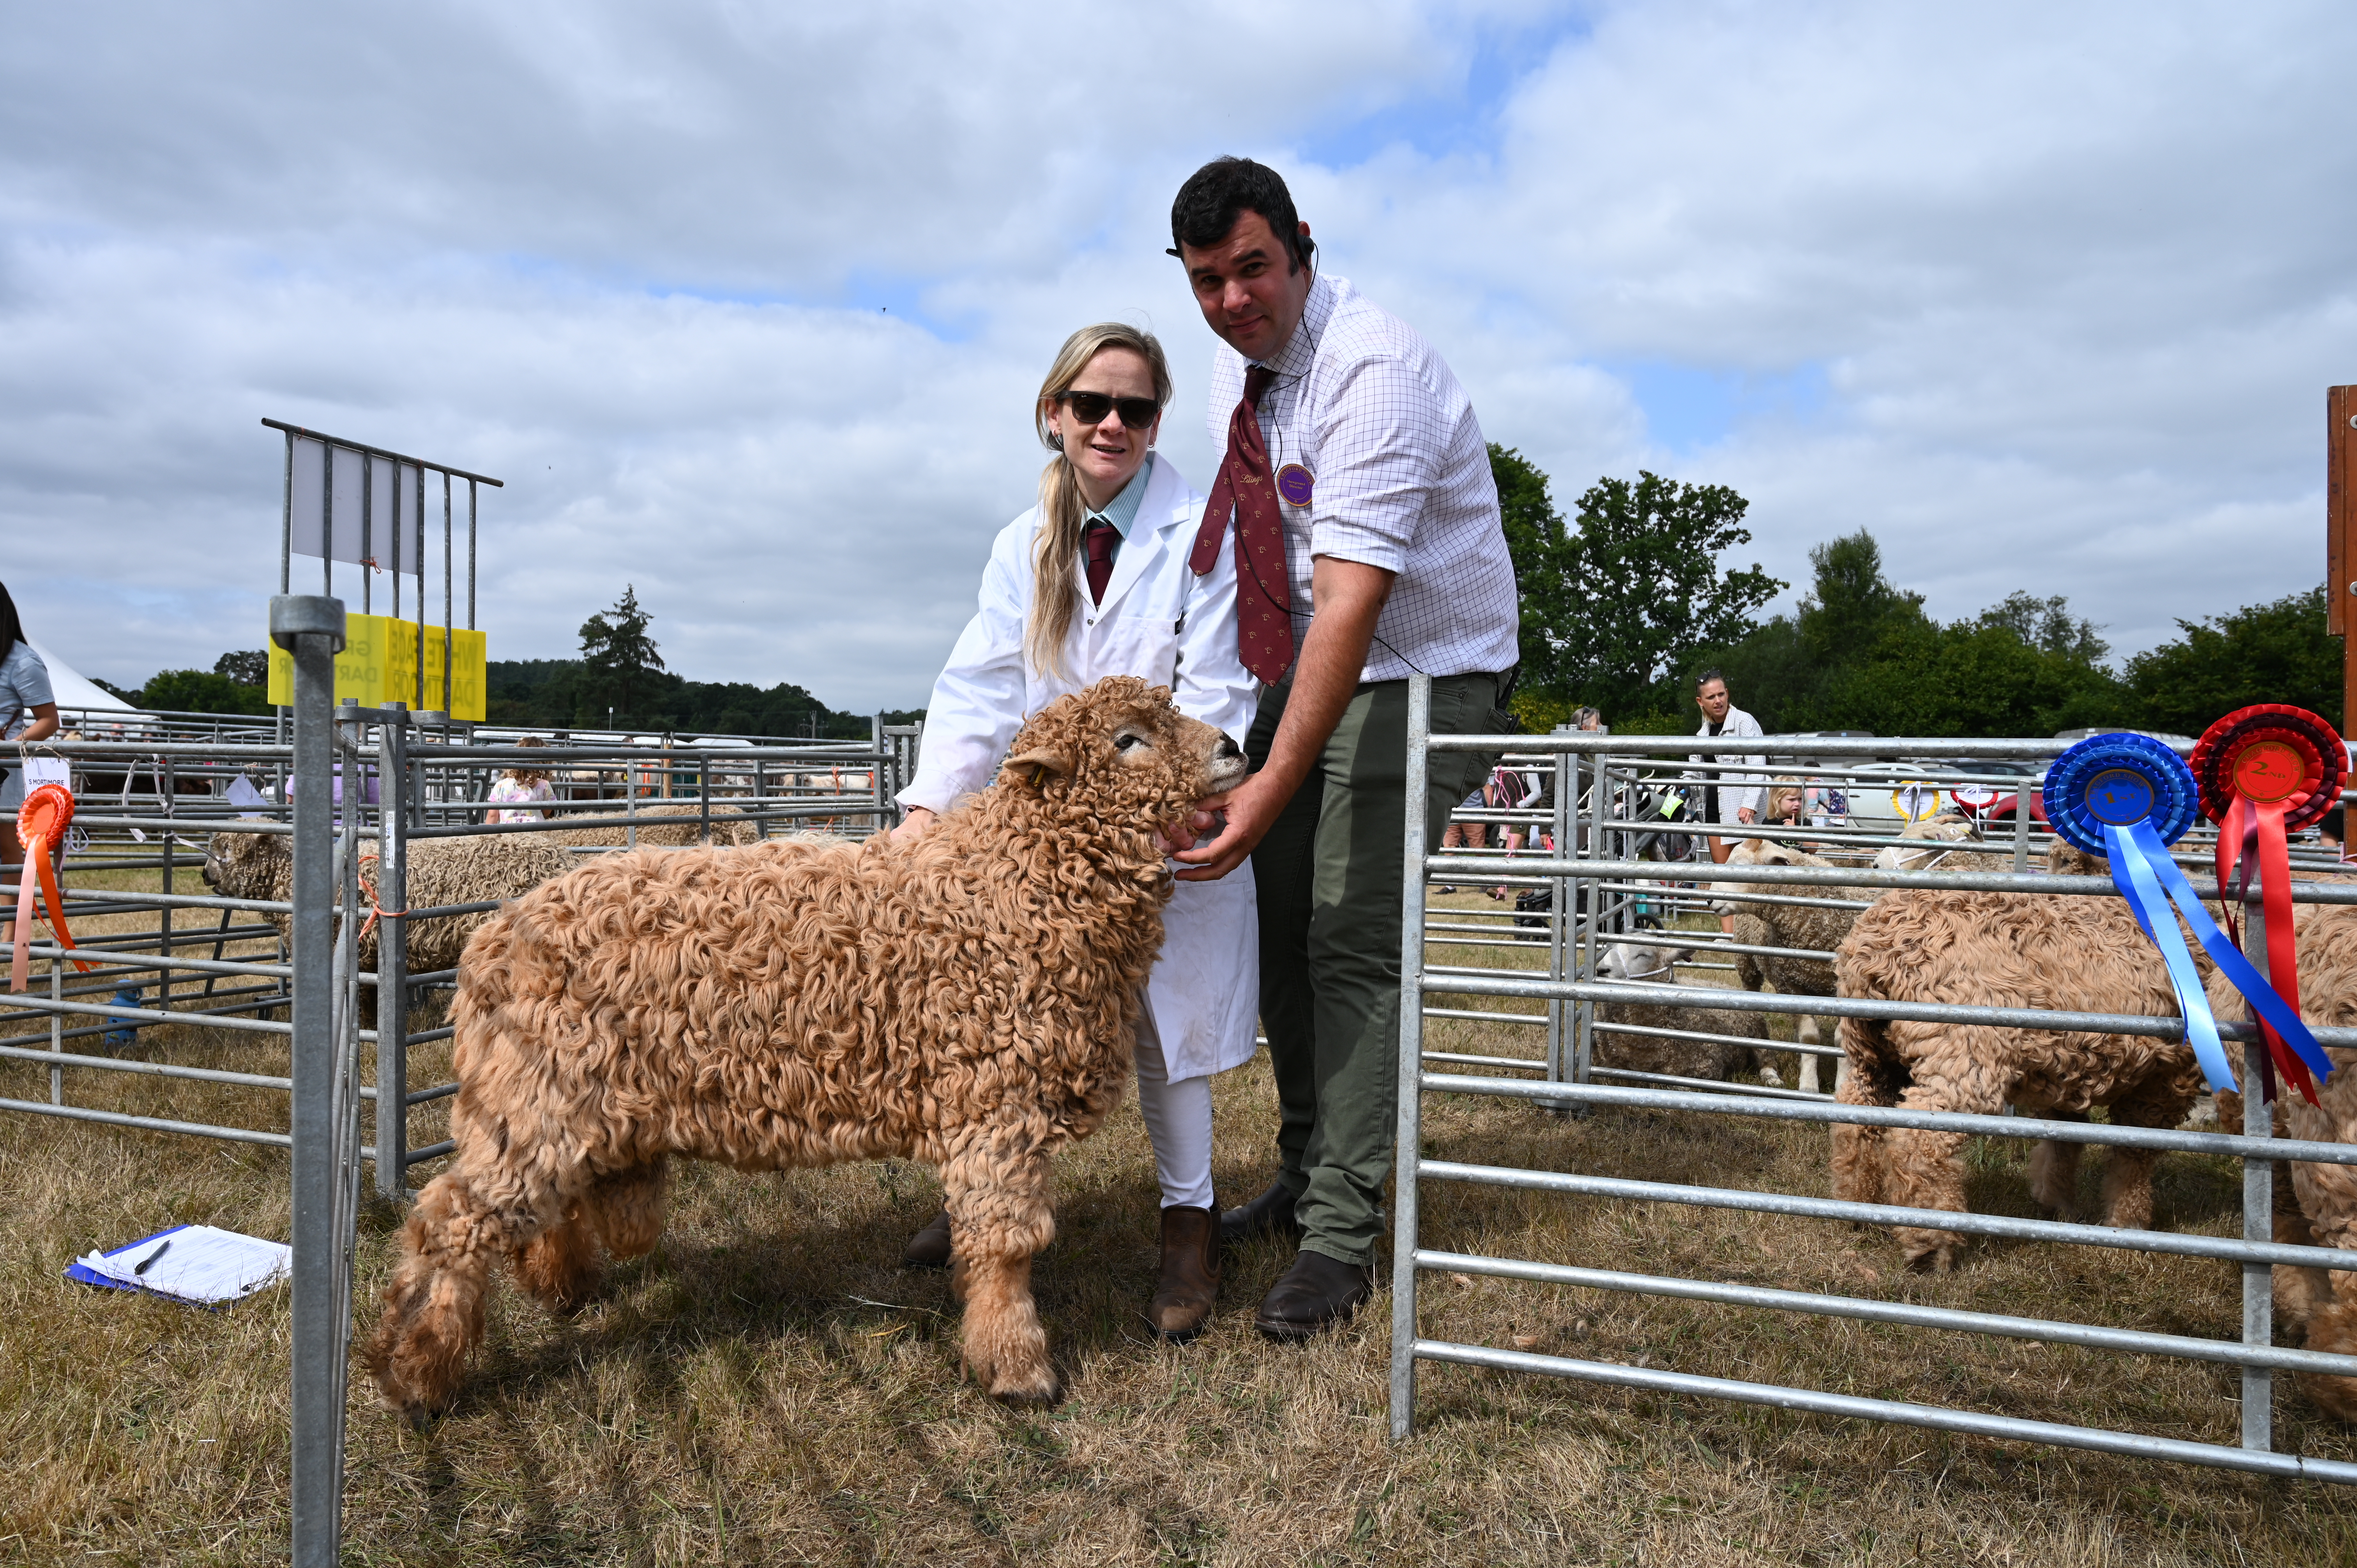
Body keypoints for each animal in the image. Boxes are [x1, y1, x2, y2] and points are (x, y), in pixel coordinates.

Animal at [363, 676, 1246, 1417]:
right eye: (1129, 738)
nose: (1235, 746)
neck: (1012, 884)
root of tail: (493, 936)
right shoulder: (998, 1106)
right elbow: (1006, 1245)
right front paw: (1018, 1367)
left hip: (565, 1100)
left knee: (544, 1199)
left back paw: (563, 1285)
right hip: (531, 1095)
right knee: (450, 1219)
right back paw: (415, 1373)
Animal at [1830, 842, 2200, 1272]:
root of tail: (1880, 940)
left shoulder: (2073, 1063)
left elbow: (2067, 1137)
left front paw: (2055, 1200)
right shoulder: (2170, 1077)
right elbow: (2135, 1154)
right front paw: (2128, 1227)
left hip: (1873, 1050)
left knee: (1856, 1118)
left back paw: (1856, 1206)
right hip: (1962, 1051)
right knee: (1920, 1139)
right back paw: (1930, 1244)